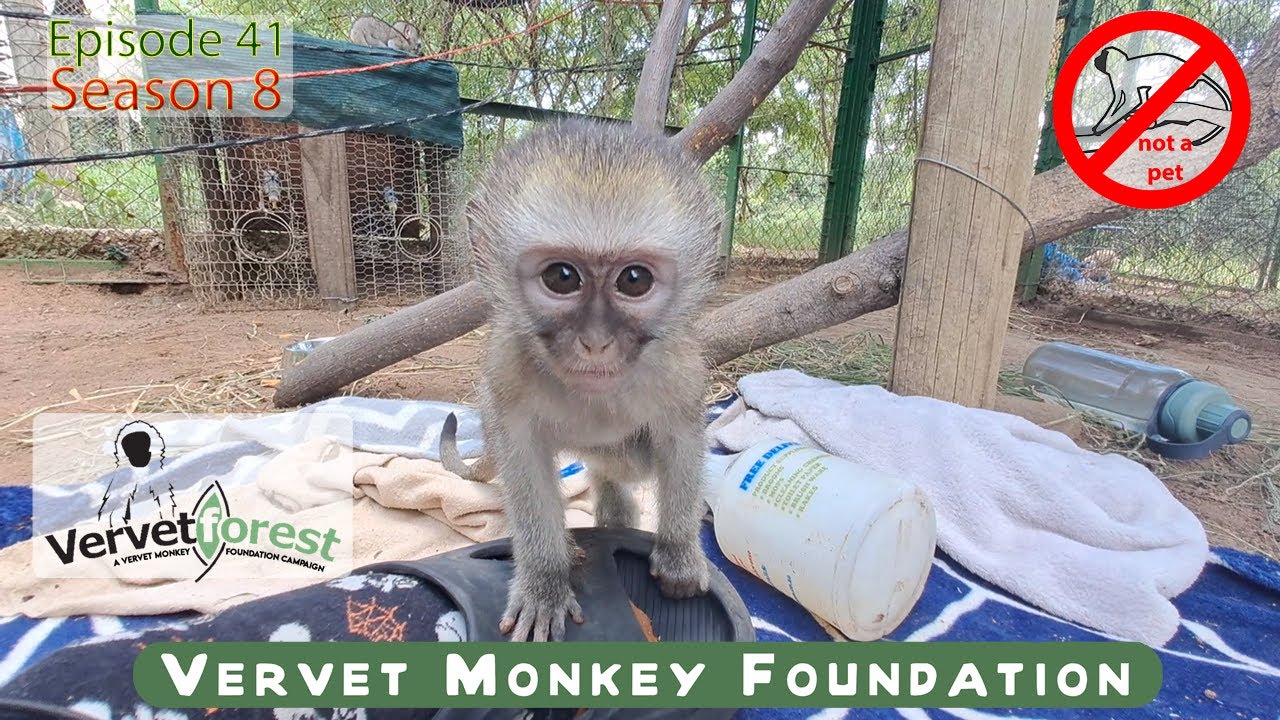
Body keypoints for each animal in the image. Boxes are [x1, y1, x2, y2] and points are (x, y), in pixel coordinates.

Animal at [454, 120, 721, 642]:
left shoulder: (679, 365)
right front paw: (545, 580)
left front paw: (679, 550)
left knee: (631, 462)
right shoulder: (506, 366)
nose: (596, 342)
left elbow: (681, 437)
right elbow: (522, 453)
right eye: (562, 277)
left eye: (634, 280)